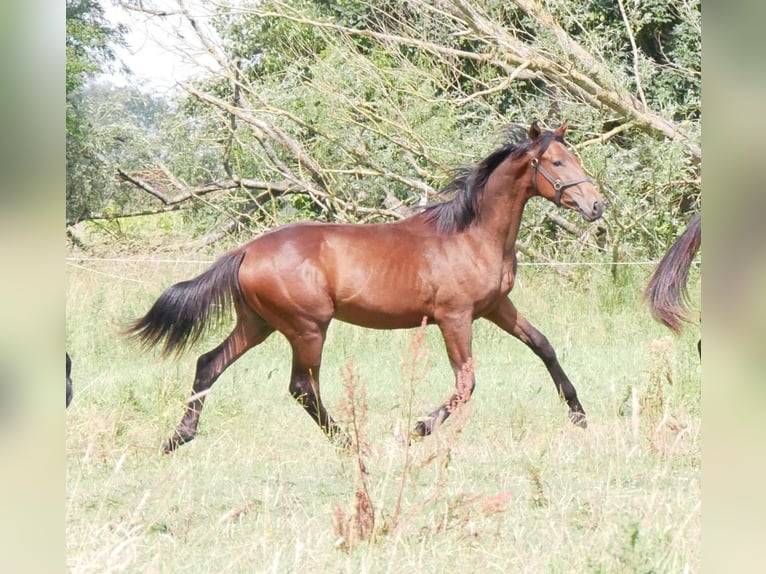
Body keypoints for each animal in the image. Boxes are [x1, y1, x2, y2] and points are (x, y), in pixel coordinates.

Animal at [126, 121, 605, 453]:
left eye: (575, 158)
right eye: (557, 163)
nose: (597, 206)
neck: (472, 234)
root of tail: (245, 251)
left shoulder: (496, 308)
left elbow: (543, 346)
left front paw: (579, 416)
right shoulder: (455, 317)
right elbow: (466, 383)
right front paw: (415, 430)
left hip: (259, 323)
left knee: (209, 363)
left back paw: (178, 438)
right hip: (307, 328)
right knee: (302, 388)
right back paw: (352, 444)